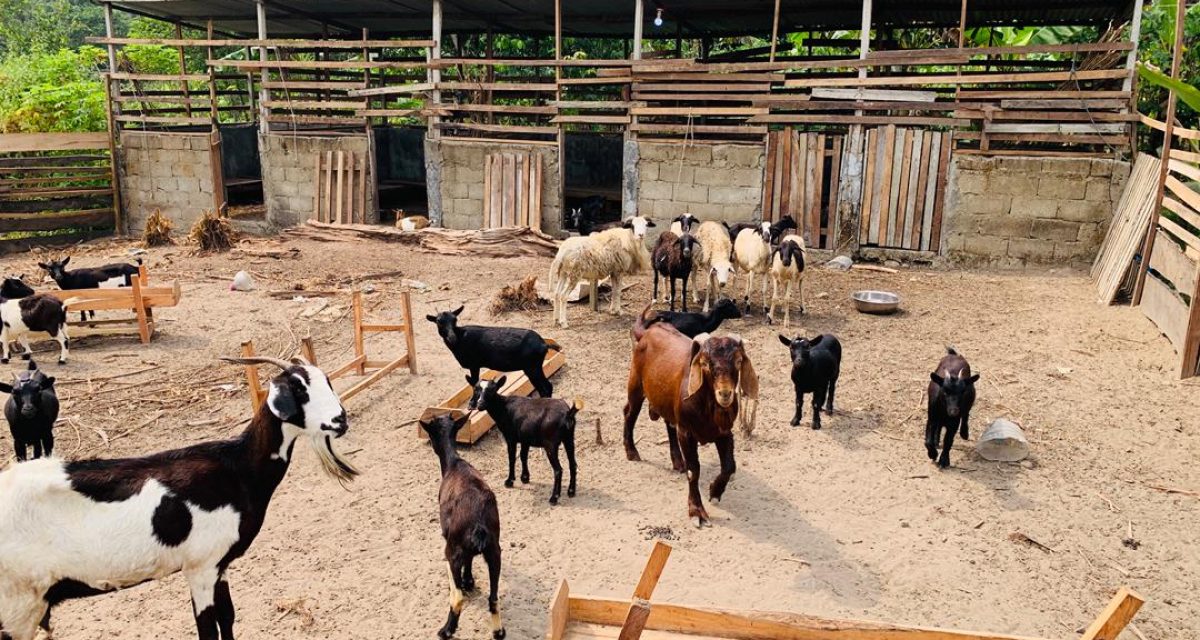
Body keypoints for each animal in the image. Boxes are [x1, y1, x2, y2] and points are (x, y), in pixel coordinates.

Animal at [0, 355, 358, 640]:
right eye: (299, 390)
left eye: (326, 382)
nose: (340, 420)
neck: (237, 469)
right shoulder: (200, 566)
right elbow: (208, 629)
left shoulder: (219, 565)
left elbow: (228, 618)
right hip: (19, 603)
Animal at [419, 412, 506, 640]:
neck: (454, 463)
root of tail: (479, 524)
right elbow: (470, 560)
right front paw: (469, 581)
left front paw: (466, 583)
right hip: (494, 552)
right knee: (493, 598)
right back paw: (499, 632)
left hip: (452, 551)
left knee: (457, 597)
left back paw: (446, 630)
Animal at [426, 306, 560, 397]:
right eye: (439, 321)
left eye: (455, 320)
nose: (452, 338)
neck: (461, 338)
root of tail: (543, 344)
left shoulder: (474, 365)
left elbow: (474, 382)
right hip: (536, 367)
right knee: (548, 387)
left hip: (532, 368)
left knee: (545, 388)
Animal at [468, 376, 582, 504]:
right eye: (476, 389)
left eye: (492, 390)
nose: (480, 405)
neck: (503, 408)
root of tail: (567, 414)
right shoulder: (525, 439)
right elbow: (523, 455)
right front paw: (525, 478)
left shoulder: (511, 438)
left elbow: (512, 458)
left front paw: (509, 481)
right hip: (569, 438)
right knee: (573, 464)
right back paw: (571, 491)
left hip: (551, 444)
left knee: (558, 470)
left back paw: (554, 497)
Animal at [624, 309, 759, 527]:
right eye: (705, 363)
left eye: (738, 361)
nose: (725, 394)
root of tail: (647, 331)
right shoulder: (687, 432)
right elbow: (694, 470)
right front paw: (697, 511)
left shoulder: (725, 432)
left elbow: (729, 467)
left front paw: (714, 491)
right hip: (636, 384)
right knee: (629, 412)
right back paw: (631, 452)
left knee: (669, 424)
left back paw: (678, 461)